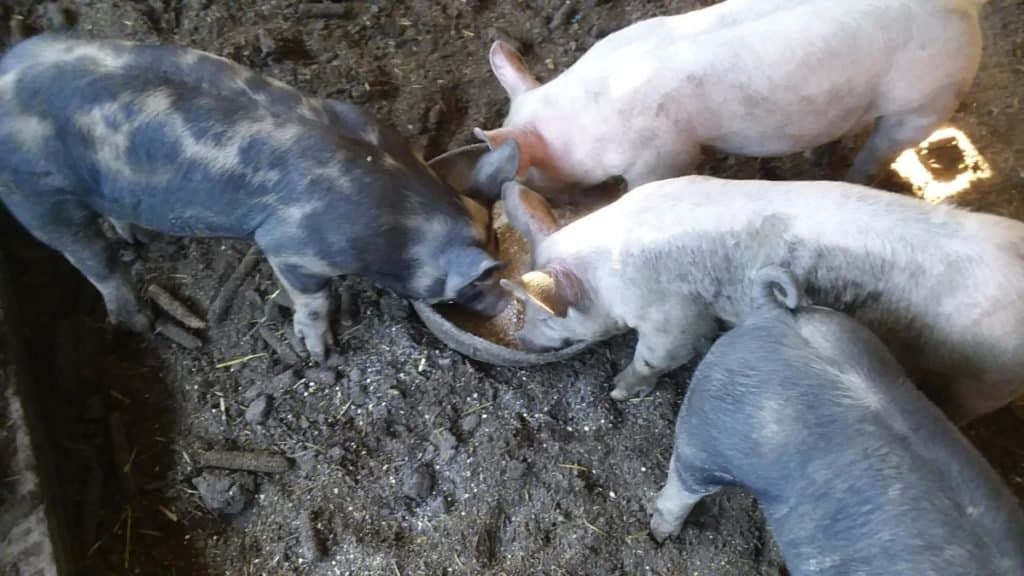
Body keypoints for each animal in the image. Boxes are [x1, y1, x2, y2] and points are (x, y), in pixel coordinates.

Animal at [0, 33, 509, 358]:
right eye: (474, 284)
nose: (504, 304)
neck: (401, 212)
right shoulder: (291, 247)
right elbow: (313, 299)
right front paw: (319, 354)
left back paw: (136, 239)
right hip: (34, 193)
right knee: (91, 258)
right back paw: (137, 323)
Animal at [499, 175, 1024, 422]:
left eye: (545, 316)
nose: (521, 341)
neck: (608, 270)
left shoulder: (673, 314)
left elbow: (660, 354)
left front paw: (619, 390)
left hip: (988, 376)